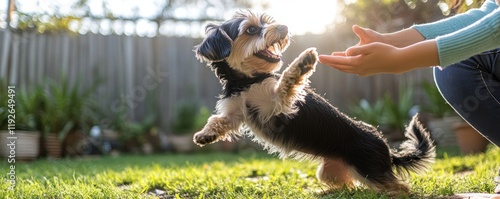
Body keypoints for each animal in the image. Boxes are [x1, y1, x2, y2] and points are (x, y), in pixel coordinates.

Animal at [193, 10, 436, 194]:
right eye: (251, 30)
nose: (284, 27)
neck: (246, 81)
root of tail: (387, 148)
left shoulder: (278, 105)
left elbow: (286, 81)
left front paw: (303, 63)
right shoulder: (236, 111)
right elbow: (218, 120)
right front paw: (205, 135)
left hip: (370, 169)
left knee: (399, 188)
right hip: (330, 170)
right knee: (348, 185)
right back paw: (327, 191)